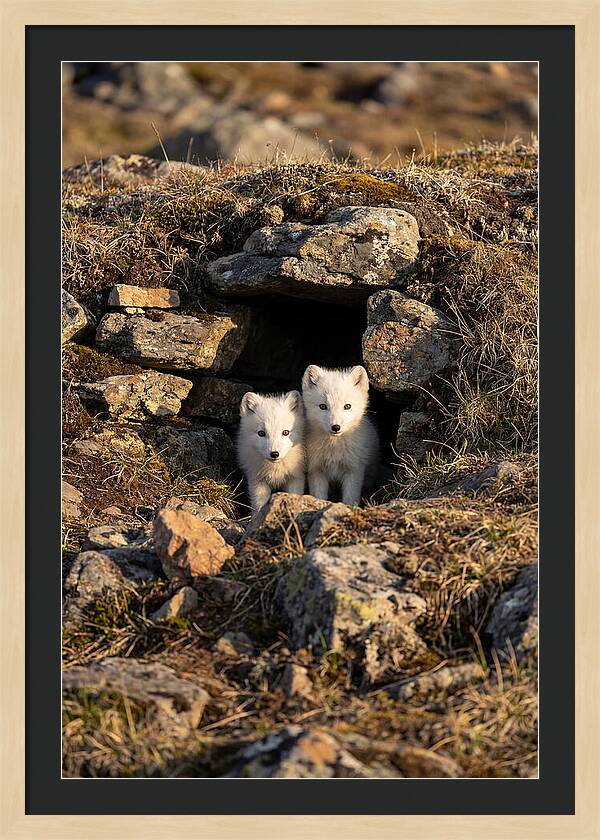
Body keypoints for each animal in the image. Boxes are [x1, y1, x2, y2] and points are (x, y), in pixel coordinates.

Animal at [301, 364, 380, 506]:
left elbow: (350, 498)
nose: (336, 427)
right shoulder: (316, 470)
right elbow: (319, 496)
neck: (334, 449)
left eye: (347, 406)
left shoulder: (354, 470)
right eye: (323, 406)